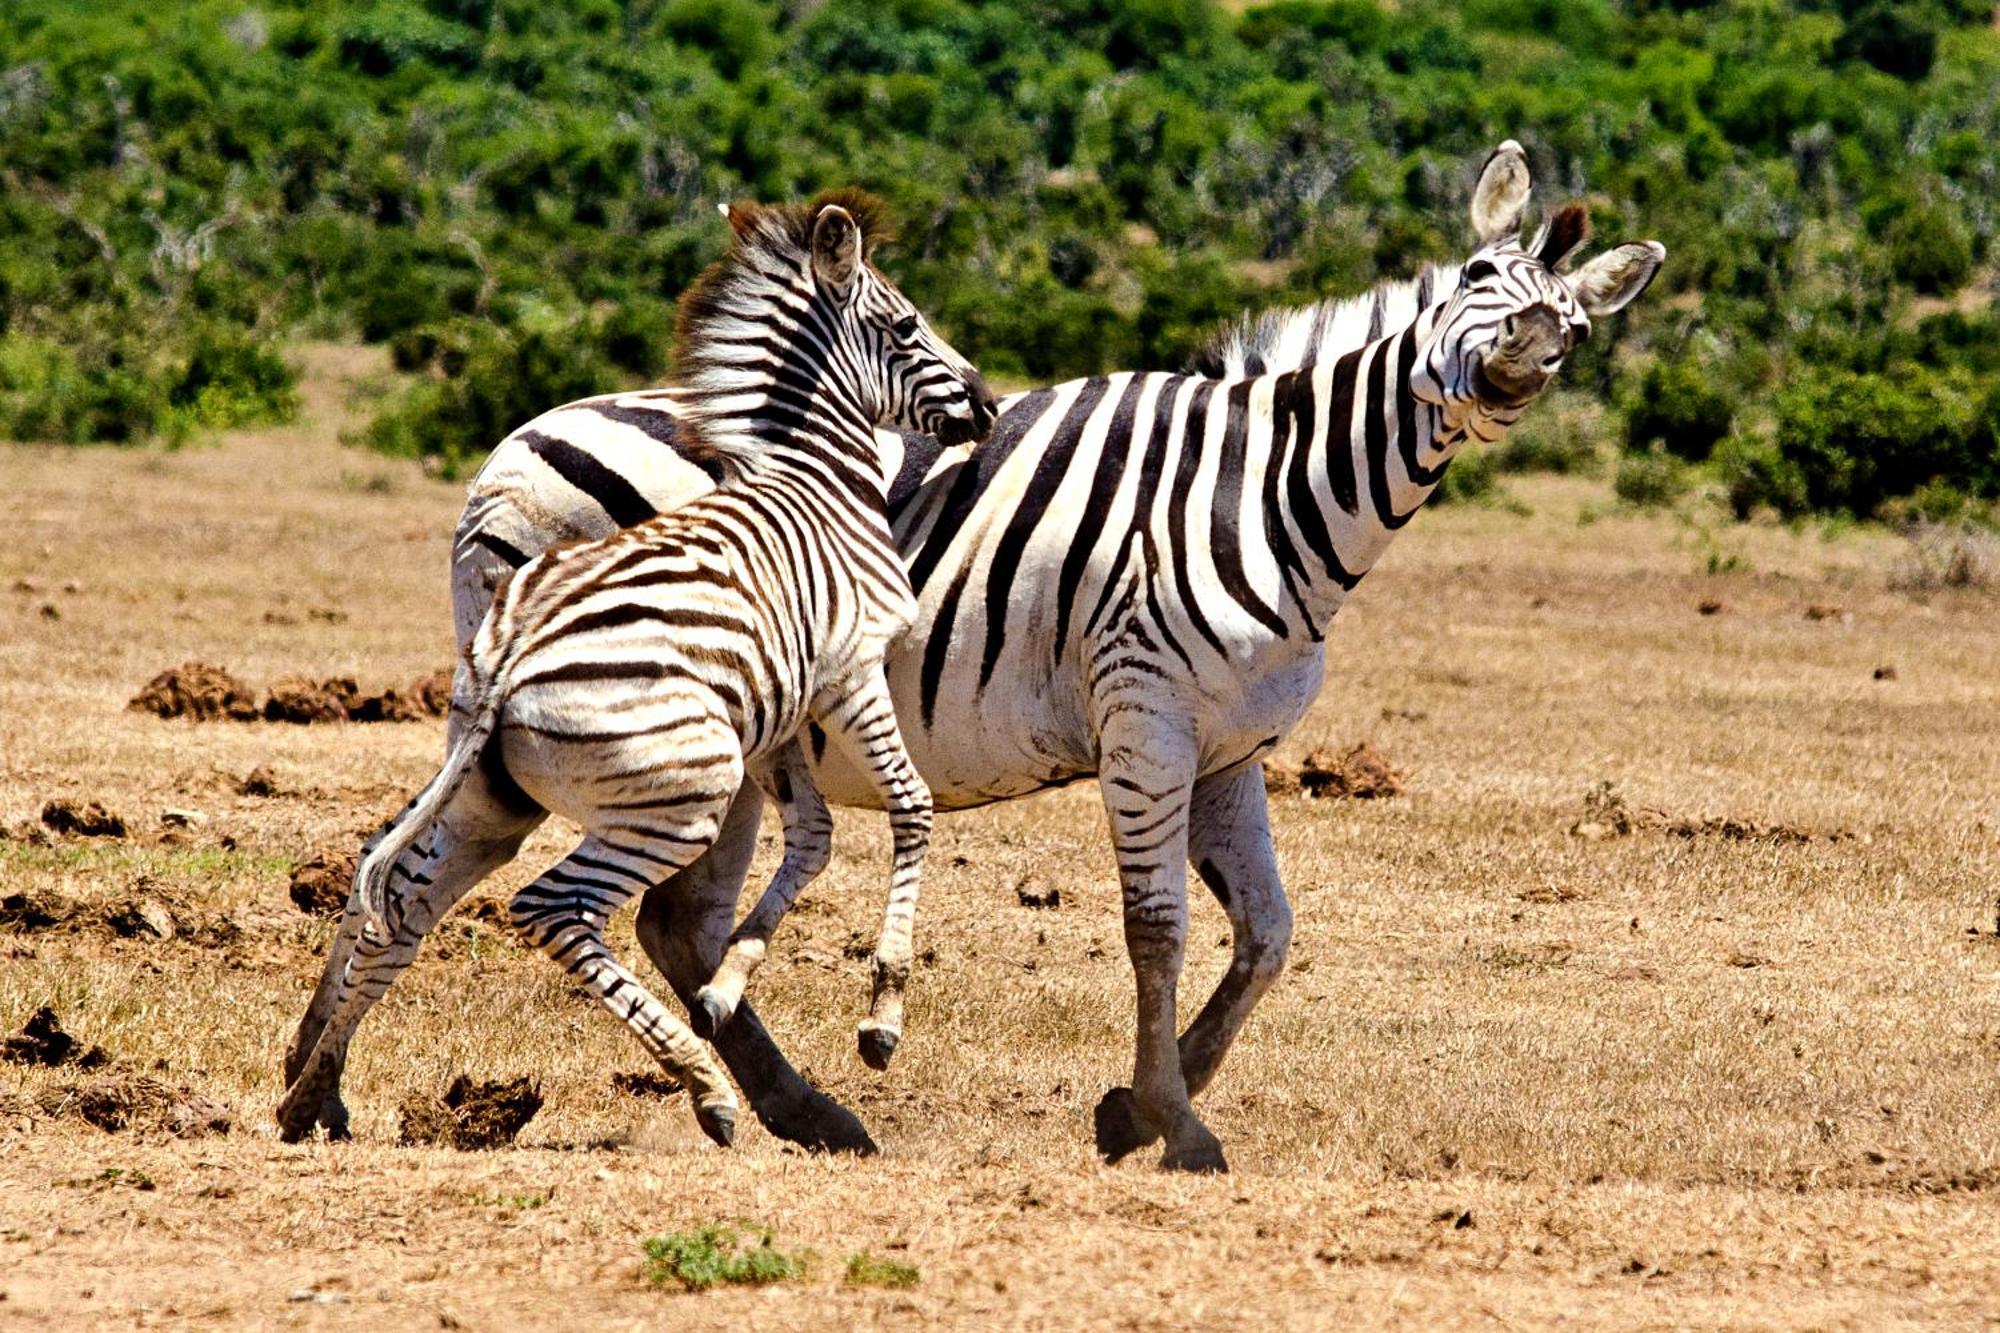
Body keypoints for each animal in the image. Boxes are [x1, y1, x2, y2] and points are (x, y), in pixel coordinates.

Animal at [276, 192, 1000, 1144]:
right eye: (909, 323)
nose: (990, 406)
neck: (817, 484)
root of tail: (510, 662)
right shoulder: (850, 670)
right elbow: (910, 809)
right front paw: (881, 1014)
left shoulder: (779, 707)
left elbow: (812, 838)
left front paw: (729, 982)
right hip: (687, 789)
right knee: (548, 906)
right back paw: (707, 1088)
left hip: (510, 774)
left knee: (407, 881)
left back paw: (308, 1093)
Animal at [446, 140, 1664, 1168]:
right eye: (1475, 275)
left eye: (1574, 333)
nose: (1519, 360)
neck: (1276, 494)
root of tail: (514, 440)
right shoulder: (1145, 718)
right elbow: (1157, 928)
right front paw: (1168, 1116)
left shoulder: (1229, 749)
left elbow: (1267, 934)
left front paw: (1138, 1105)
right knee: (653, 909)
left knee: (674, 920)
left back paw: (804, 1109)